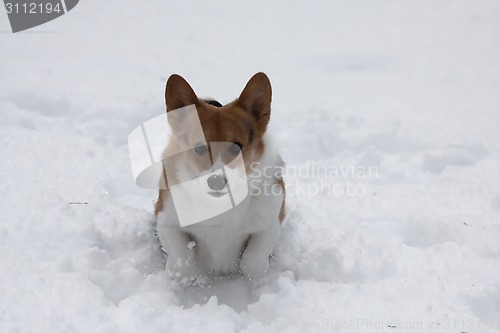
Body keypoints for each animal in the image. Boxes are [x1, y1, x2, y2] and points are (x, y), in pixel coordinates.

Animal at [154, 72, 286, 280]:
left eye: (236, 146)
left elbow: (253, 263)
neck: (220, 205)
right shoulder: (165, 220)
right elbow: (181, 263)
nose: (216, 182)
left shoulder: (272, 221)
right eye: (199, 148)